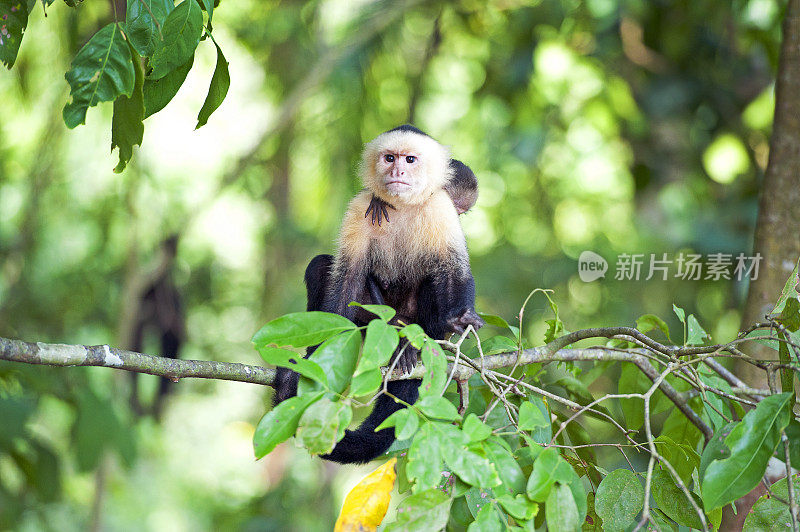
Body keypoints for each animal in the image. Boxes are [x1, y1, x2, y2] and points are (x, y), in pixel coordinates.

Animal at [276, 124, 482, 462]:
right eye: (390, 158)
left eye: (410, 159)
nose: (397, 170)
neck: (404, 206)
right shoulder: (358, 207)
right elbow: (348, 278)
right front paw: (319, 355)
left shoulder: (439, 209)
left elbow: (452, 269)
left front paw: (461, 318)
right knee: (321, 267)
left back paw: (416, 343)